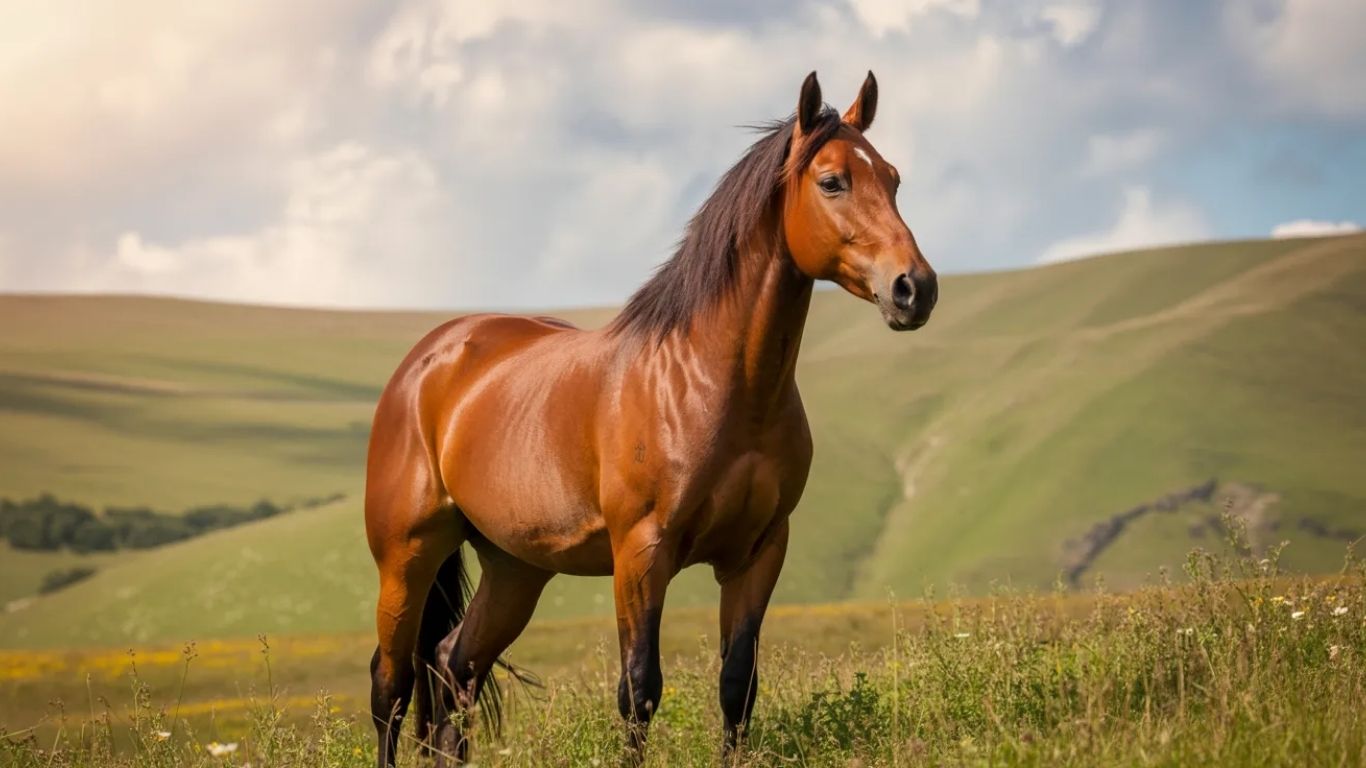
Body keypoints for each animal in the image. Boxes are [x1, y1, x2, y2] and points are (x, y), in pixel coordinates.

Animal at [365, 70, 937, 766]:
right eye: (833, 181)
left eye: (894, 179)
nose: (915, 288)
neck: (709, 383)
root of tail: (430, 360)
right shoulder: (641, 554)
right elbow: (638, 690)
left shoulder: (759, 552)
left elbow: (738, 685)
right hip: (408, 557)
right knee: (392, 686)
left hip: (515, 568)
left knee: (455, 667)